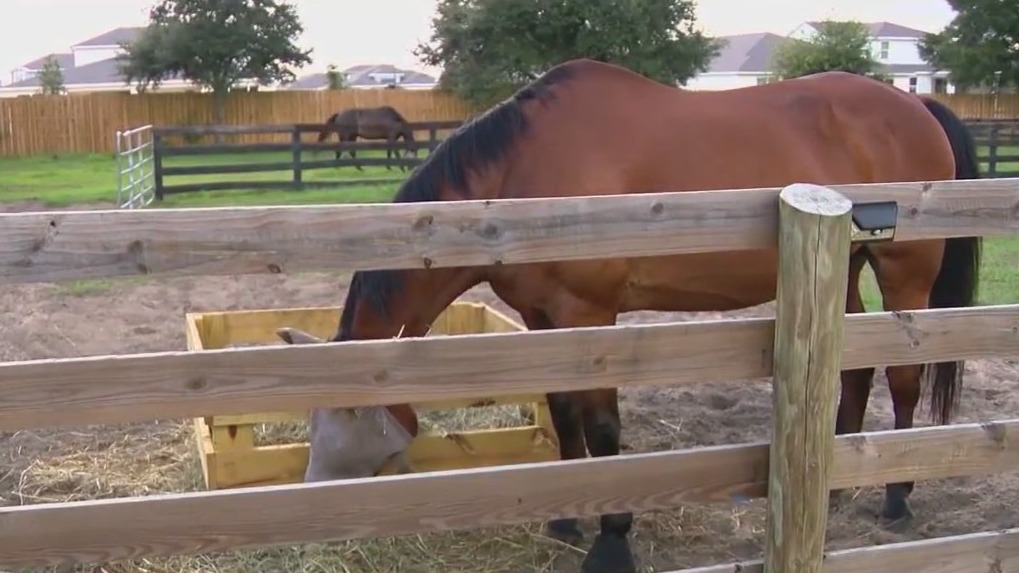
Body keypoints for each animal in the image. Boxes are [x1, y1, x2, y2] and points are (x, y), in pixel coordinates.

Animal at [280, 59, 981, 573]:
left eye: (342, 422)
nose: (310, 505)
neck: (522, 176)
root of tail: (916, 106)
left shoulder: (590, 314)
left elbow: (603, 426)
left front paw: (612, 539)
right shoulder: (541, 319)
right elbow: (565, 414)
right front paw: (564, 518)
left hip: (904, 273)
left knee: (904, 379)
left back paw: (896, 497)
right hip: (844, 267)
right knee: (856, 372)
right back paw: (838, 485)